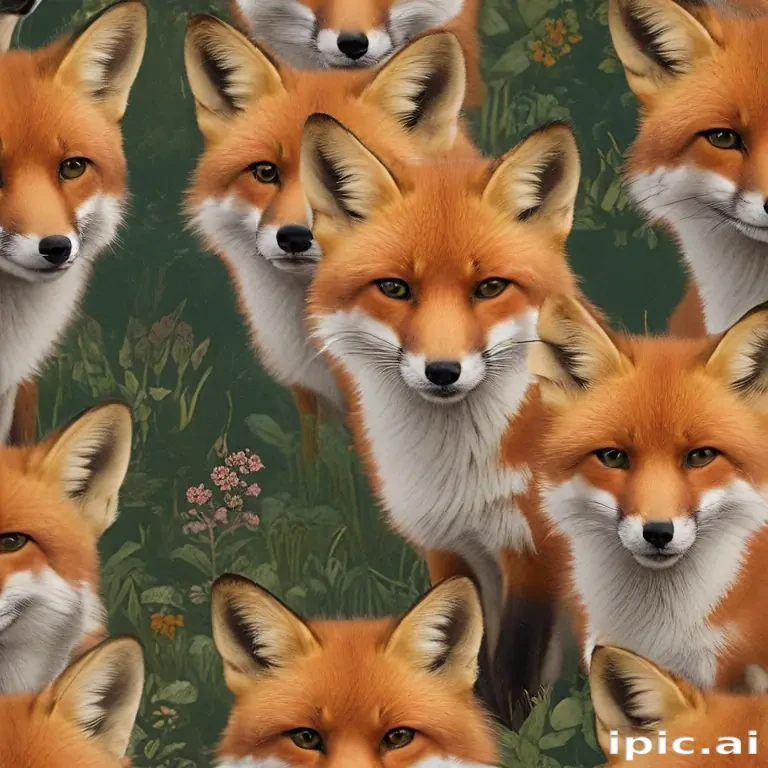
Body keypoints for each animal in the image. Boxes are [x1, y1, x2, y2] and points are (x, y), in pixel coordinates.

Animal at [301, 113, 585, 724]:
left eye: (490, 287)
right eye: (395, 288)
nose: (443, 371)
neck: (459, 473)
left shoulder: (536, 553)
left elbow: (515, 673)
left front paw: (511, 733)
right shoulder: (447, 546)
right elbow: (458, 650)